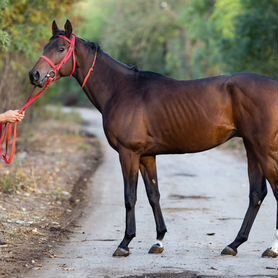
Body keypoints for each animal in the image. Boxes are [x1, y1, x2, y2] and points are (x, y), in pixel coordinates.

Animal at [28, 20, 278, 258]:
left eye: (61, 48)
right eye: (45, 47)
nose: (34, 75)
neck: (121, 90)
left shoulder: (128, 154)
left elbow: (130, 197)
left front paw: (125, 243)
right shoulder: (147, 156)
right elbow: (153, 195)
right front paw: (158, 241)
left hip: (264, 150)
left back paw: (271, 248)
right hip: (252, 147)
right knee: (257, 194)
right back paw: (234, 244)